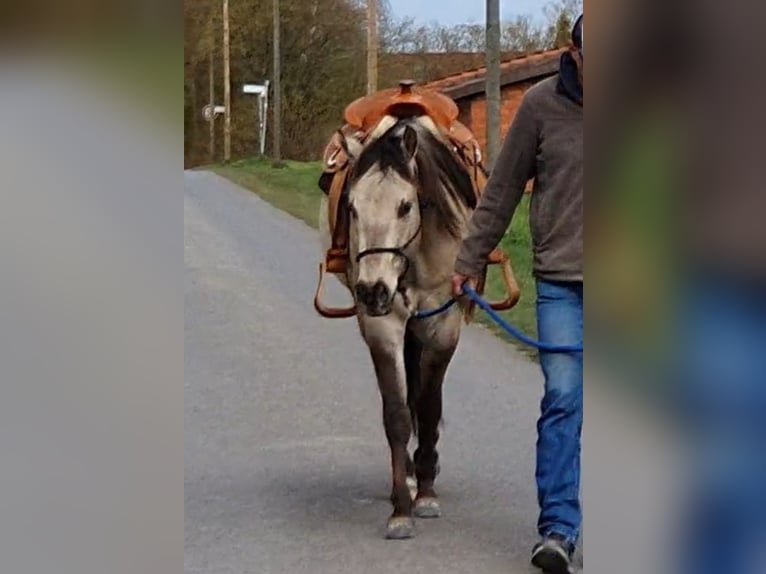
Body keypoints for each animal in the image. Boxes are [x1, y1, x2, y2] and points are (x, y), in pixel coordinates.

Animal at [319, 113, 478, 539]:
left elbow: (428, 405)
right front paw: (401, 507)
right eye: (352, 207)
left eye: (406, 206)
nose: (372, 290)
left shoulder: (443, 327)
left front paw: (426, 493)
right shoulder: (384, 327)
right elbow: (397, 413)